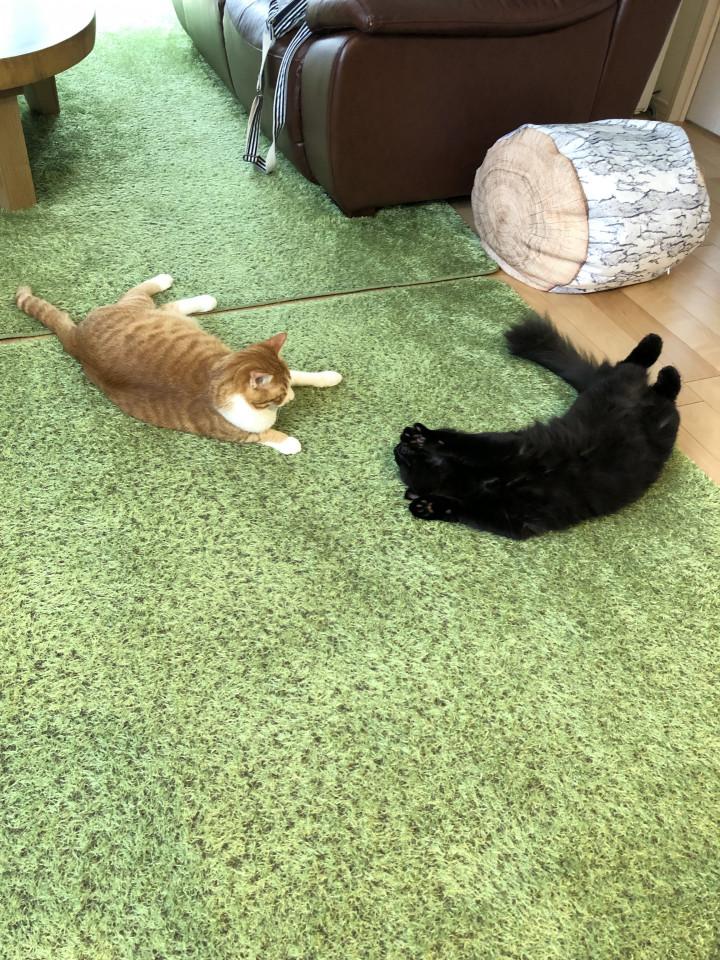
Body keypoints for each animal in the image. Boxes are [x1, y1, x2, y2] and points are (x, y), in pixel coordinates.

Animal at [15, 275, 342, 454]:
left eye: (286, 387)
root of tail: (78, 339)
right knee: (147, 295)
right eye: (280, 393)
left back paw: (201, 298)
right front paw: (290, 442)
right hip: (141, 309)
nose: (292, 398)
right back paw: (167, 281)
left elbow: (302, 374)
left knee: (168, 305)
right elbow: (266, 435)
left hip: (160, 317)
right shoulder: (239, 432)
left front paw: (328, 376)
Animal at [394, 312, 681, 539]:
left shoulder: (504, 447)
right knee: (657, 385)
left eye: (405, 462)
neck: (483, 480)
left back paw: (657, 348)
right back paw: (664, 366)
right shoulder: (510, 517)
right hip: (655, 415)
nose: (397, 449)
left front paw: (422, 435)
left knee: (638, 366)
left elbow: (461, 442)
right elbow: (463, 510)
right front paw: (430, 507)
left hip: (635, 397)